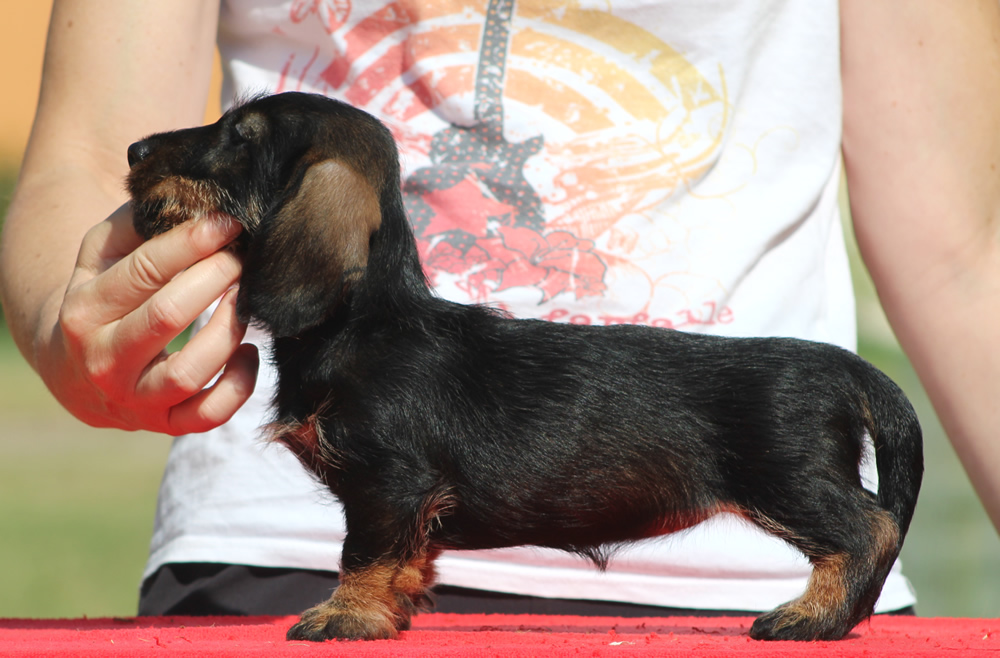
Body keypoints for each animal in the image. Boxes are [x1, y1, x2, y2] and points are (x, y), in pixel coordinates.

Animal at [125, 92, 920, 640]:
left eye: (241, 137)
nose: (135, 150)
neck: (362, 324)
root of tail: (847, 369)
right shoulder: (404, 501)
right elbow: (407, 557)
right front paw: (397, 608)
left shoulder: (387, 481)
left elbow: (361, 554)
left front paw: (344, 616)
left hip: (788, 479)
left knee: (868, 531)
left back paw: (810, 618)